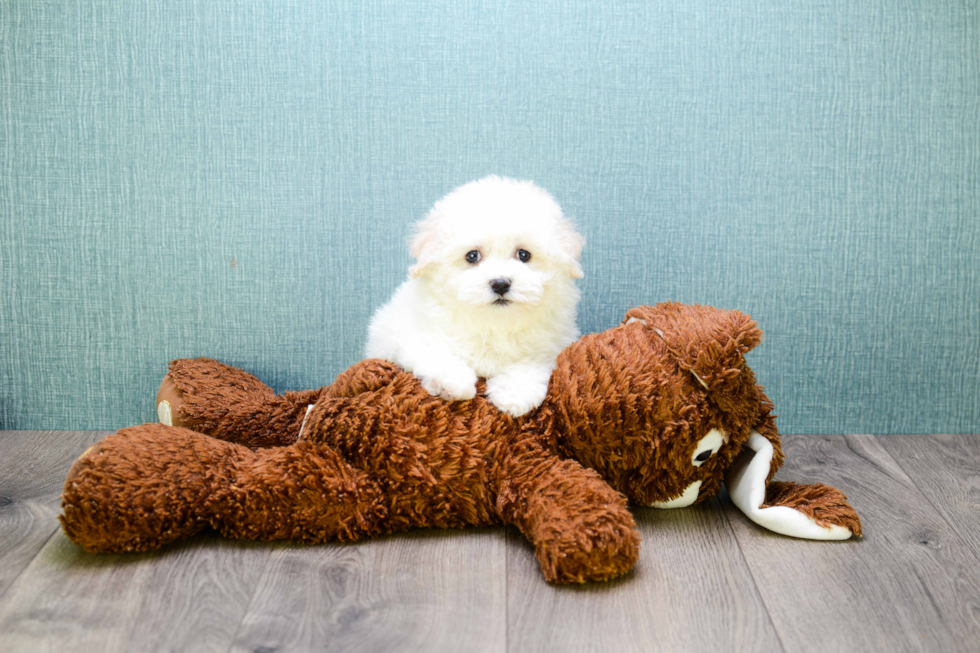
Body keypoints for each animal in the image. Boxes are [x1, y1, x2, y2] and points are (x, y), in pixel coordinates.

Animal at [366, 176, 580, 416]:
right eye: (472, 256)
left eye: (524, 254)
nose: (500, 283)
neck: (493, 324)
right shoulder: (409, 334)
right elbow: (435, 351)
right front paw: (452, 382)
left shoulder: (549, 347)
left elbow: (529, 365)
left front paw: (515, 395)